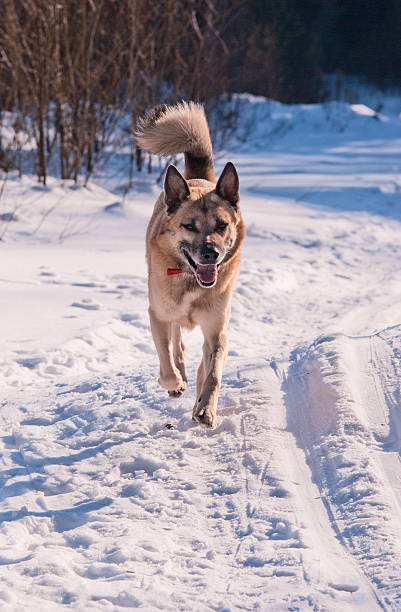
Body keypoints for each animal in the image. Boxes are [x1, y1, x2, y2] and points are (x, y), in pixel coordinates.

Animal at [134, 101, 244, 426]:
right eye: (189, 226)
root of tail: (198, 181)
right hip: (166, 310)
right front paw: (173, 383)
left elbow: (213, 374)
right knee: (176, 345)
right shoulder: (157, 315)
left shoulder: (217, 332)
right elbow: (166, 359)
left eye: (221, 224)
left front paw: (206, 408)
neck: (191, 282)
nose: (210, 254)